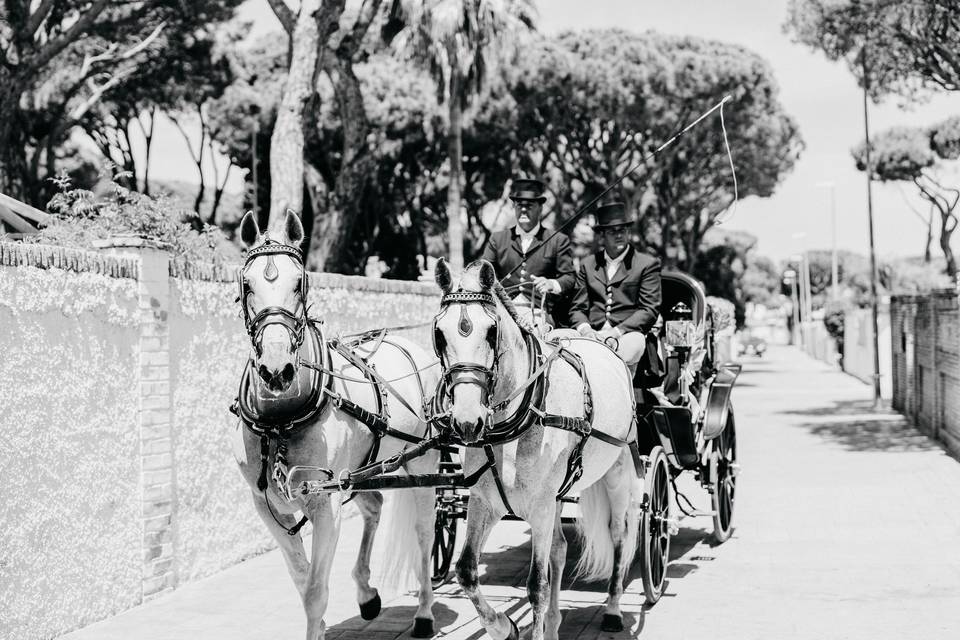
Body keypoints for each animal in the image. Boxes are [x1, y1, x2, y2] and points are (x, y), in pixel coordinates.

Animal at [234, 212, 440, 640]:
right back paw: (366, 593)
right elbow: (302, 580)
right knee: (374, 506)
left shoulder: (324, 504)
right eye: (247, 284)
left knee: (424, 532)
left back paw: (425, 613)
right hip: (360, 470)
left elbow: (315, 590)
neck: (280, 422)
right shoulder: (265, 504)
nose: (276, 370)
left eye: (300, 282)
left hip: (422, 463)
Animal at [436, 258, 644, 636]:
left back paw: (613, 609)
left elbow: (537, 585)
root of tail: (602, 341)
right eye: (439, 334)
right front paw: (503, 626)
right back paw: (555, 622)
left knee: (619, 537)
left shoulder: (542, 506)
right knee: (559, 549)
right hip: (560, 491)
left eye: (491, 332)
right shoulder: (484, 501)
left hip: (617, 473)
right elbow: (467, 571)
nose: (467, 420)